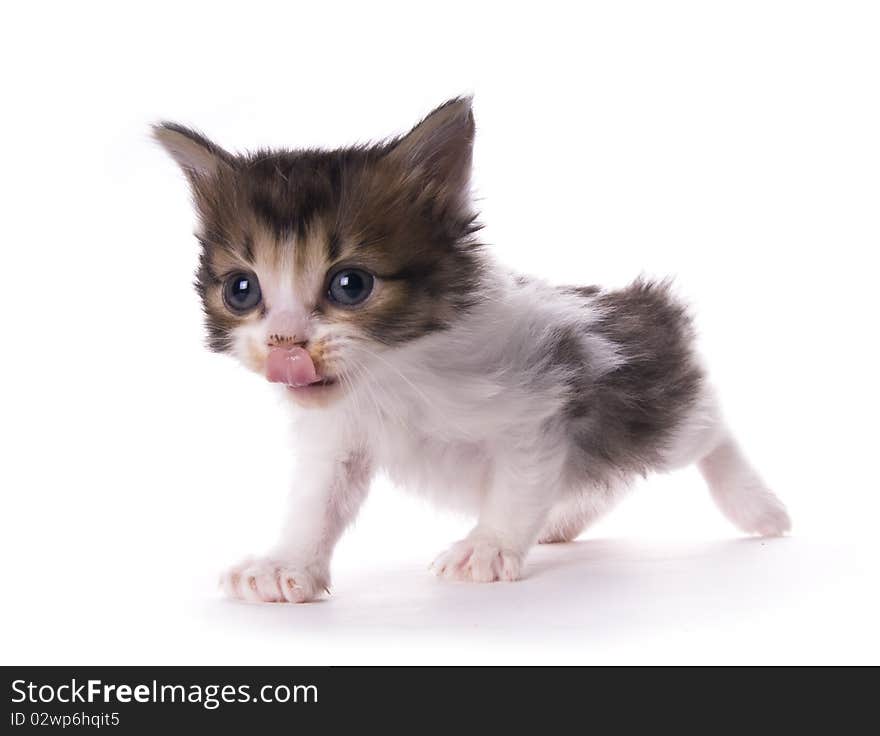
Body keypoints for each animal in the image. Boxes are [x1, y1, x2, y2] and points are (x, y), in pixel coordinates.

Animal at [155, 98, 796, 604]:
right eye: (242, 290)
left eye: (350, 285)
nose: (284, 344)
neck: (395, 369)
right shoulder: (337, 438)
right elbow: (318, 501)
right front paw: (284, 565)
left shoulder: (538, 408)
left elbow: (518, 485)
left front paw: (485, 548)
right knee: (598, 479)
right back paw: (561, 522)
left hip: (654, 412)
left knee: (708, 430)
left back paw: (759, 508)